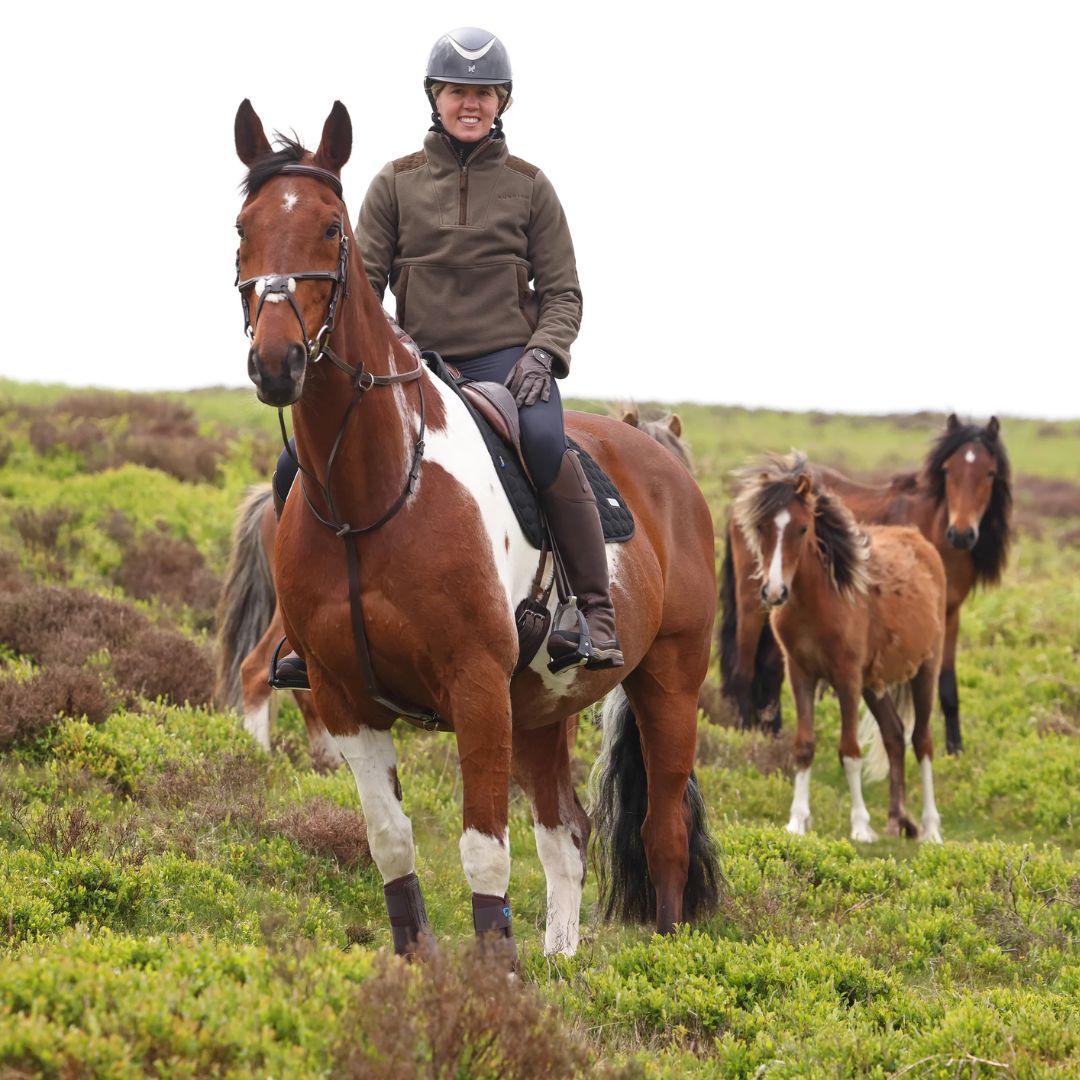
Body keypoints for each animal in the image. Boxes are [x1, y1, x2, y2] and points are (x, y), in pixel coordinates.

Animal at [231, 99, 719, 959]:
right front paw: (420, 961)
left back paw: (659, 956)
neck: (376, 493)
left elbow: (482, 847)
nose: (276, 362)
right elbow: (391, 841)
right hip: (544, 711)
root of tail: (666, 466)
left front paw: (496, 974)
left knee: (660, 830)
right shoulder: (345, 697)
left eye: (329, 227)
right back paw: (561, 961)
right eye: (242, 228)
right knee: (568, 834)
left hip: (669, 680)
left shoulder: (477, 688)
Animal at [720, 415, 1011, 753]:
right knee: (743, 669)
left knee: (769, 671)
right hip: (755, 601)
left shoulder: (950, 615)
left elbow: (948, 686)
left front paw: (956, 750)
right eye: (948, 470)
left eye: (990, 473)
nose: (962, 533)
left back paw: (773, 733)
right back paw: (745, 734)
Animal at [732, 453, 946, 842]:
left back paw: (931, 829)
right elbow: (804, 747)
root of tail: (920, 542)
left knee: (922, 742)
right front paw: (797, 821)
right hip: (873, 684)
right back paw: (897, 820)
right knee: (894, 735)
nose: (774, 592)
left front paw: (860, 826)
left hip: (925, 671)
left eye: (802, 528)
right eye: (762, 527)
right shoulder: (800, 674)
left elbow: (849, 751)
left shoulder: (846, 679)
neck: (819, 603)